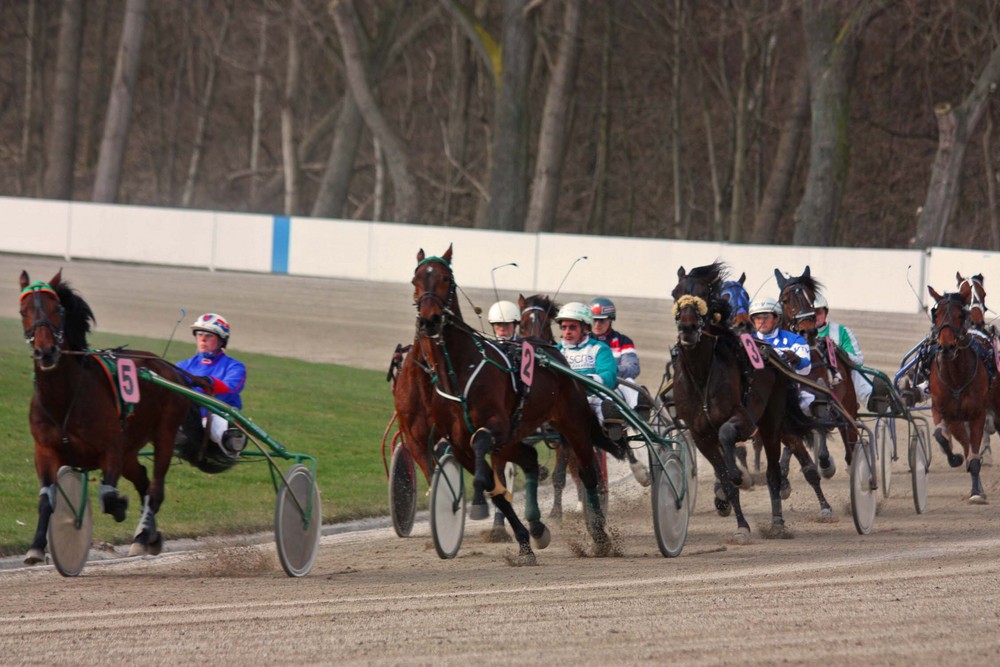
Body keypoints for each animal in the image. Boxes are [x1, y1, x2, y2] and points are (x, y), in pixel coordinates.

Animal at [19, 270, 194, 564]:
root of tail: (165, 366)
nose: (46, 351)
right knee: (143, 480)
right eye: (24, 311)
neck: (64, 398)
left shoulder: (111, 448)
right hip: (130, 450)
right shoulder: (44, 450)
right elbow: (46, 499)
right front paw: (35, 548)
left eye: (58, 309)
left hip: (164, 436)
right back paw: (148, 535)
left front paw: (121, 507)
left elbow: (109, 496)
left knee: (155, 489)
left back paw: (143, 536)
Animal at [408, 248, 624, 560]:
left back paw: (600, 536)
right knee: (531, 458)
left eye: (446, 278)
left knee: (588, 473)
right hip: (513, 437)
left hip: (572, 423)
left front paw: (478, 504)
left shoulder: (493, 427)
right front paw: (523, 540)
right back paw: (537, 527)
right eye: (416, 280)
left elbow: (482, 449)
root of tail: (554, 355)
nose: (430, 320)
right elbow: (494, 487)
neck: (459, 372)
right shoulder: (460, 444)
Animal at [668, 262, 816, 544]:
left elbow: (727, 433)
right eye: (675, 293)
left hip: (771, 420)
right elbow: (725, 480)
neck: (702, 374)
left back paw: (777, 523)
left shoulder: (745, 420)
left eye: (704, 293)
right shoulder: (700, 435)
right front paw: (741, 525)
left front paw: (740, 476)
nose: (688, 328)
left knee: (772, 472)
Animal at [928, 284, 992, 504]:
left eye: (959, 315)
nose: (946, 347)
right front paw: (955, 458)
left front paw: (976, 493)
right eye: (936, 314)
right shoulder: (947, 412)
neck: (957, 377)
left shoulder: (978, 414)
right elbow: (945, 437)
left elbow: (974, 450)